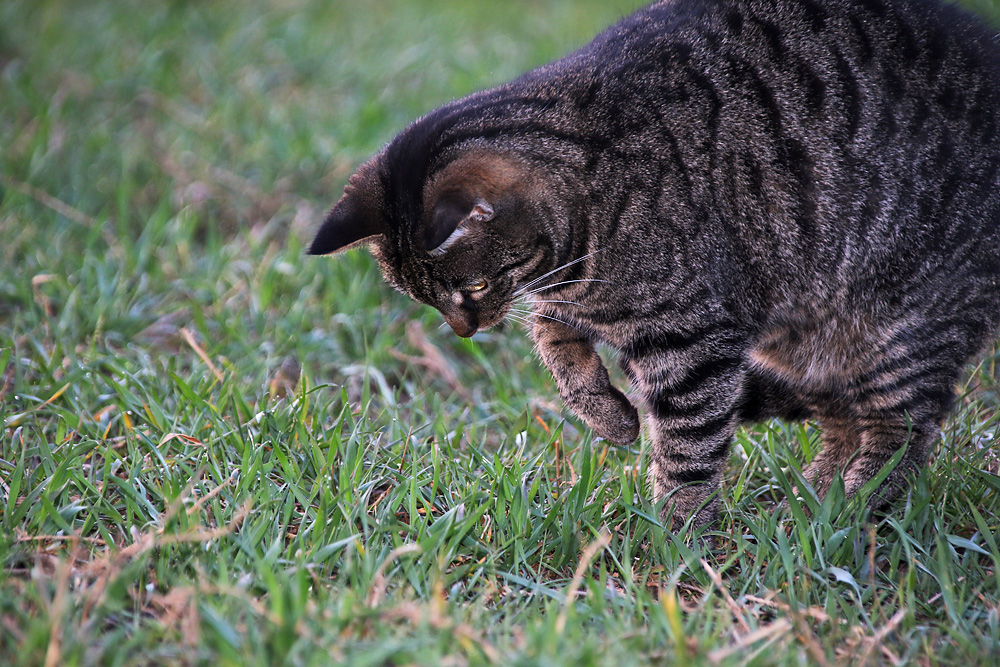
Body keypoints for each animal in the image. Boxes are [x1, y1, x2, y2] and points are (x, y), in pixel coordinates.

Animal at [306, 0, 1000, 532]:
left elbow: (688, 447)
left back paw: (839, 511)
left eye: (471, 285)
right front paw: (610, 416)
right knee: (842, 419)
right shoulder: (569, 296)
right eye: (426, 300)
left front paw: (679, 537)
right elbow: (555, 346)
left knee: (902, 430)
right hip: (810, 341)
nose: (465, 332)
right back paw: (808, 503)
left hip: (899, 330)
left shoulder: (690, 341)